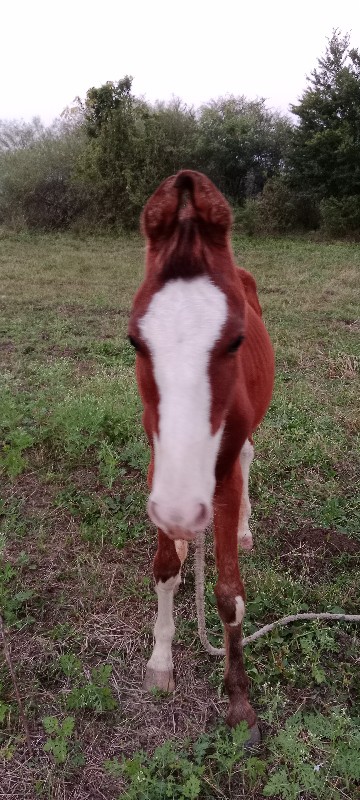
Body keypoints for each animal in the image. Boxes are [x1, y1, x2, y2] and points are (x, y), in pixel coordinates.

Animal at [128, 170, 274, 744]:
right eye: (134, 341)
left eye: (236, 340)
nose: (182, 511)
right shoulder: (158, 466)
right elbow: (165, 567)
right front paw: (160, 662)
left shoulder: (222, 473)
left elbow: (230, 595)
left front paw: (239, 703)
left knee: (251, 453)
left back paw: (242, 531)